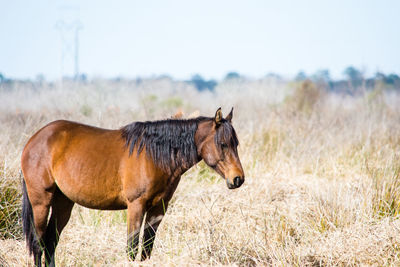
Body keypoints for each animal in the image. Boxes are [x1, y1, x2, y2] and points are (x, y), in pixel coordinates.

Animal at [21, 108, 245, 266]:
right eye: (223, 143)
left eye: (236, 143)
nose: (238, 179)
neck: (154, 156)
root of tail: (34, 139)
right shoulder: (136, 206)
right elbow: (131, 248)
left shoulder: (158, 208)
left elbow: (146, 249)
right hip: (41, 203)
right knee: (39, 244)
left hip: (64, 204)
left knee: (50, 243)